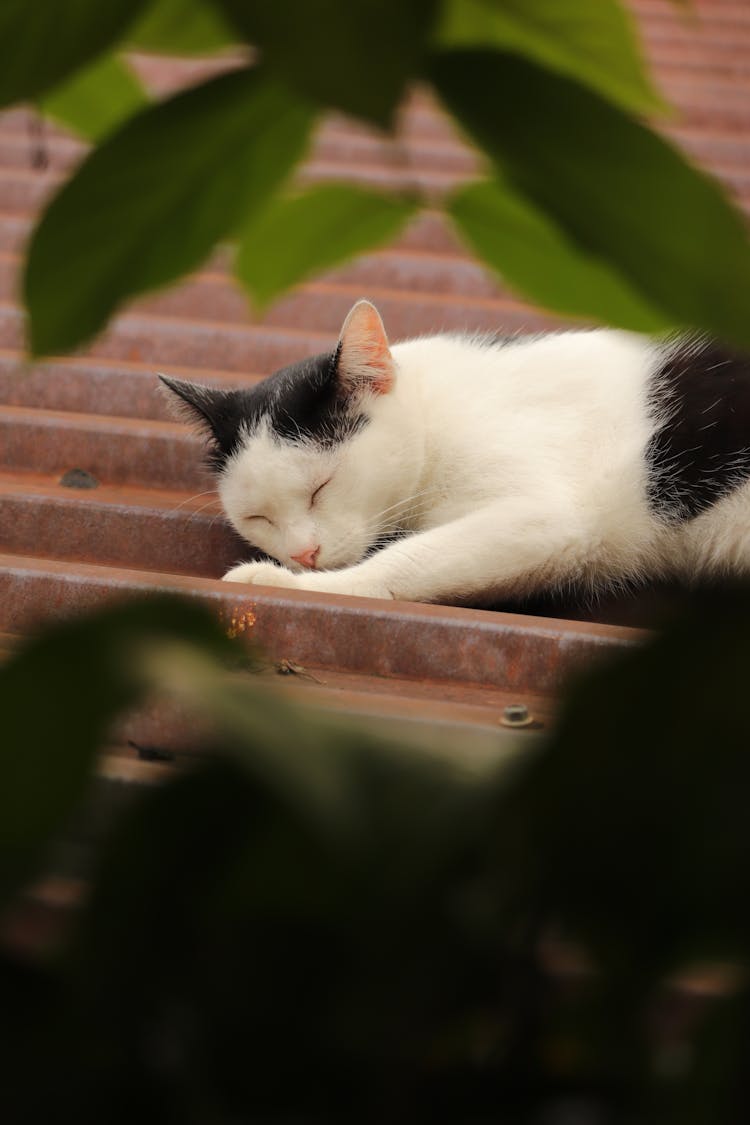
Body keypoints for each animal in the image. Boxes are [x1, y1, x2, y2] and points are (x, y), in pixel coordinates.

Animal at [158, 299, 750, 607]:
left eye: (320, 488)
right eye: (258, 517)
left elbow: (402, 562)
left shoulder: (549, 520)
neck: (435, 417)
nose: (304, 554)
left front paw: (288, 582)